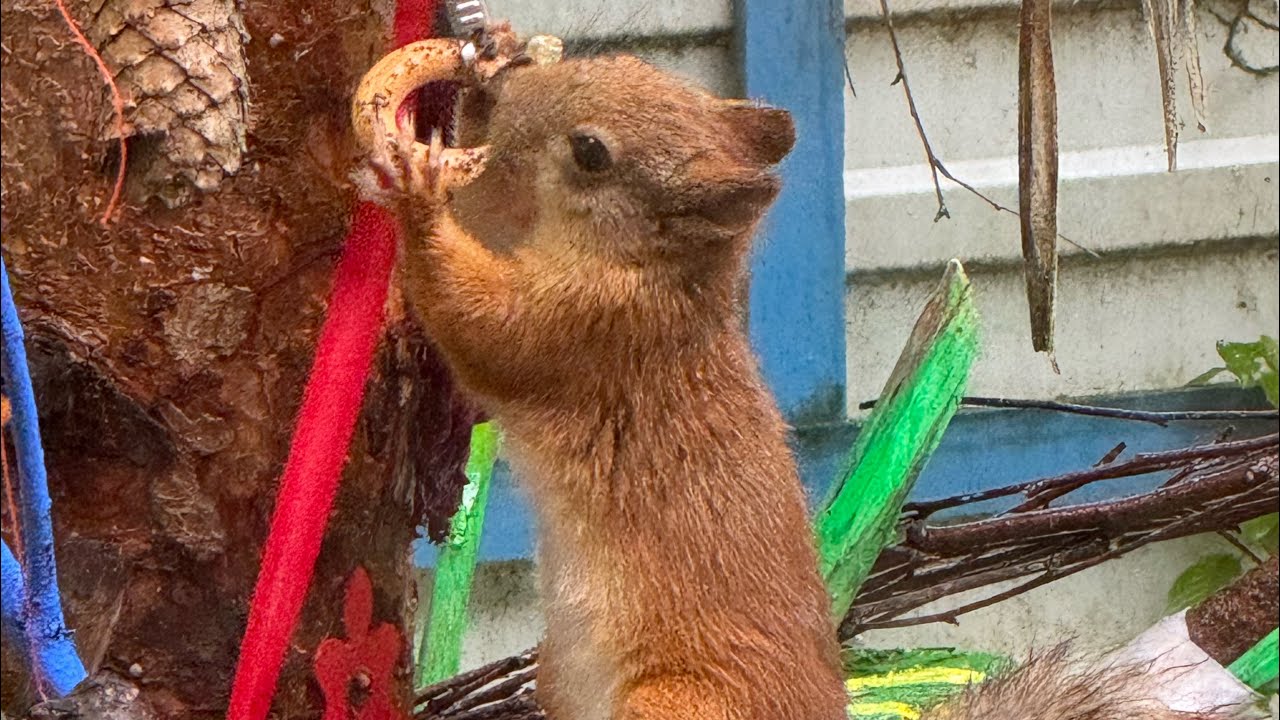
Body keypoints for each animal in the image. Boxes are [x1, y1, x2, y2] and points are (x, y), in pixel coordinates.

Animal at [353, 33, 1253, 720]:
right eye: (607, 61)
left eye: (591, 152)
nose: (488, 98)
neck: (659, 272)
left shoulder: (592, 333)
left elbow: (486, 334)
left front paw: (420, 196)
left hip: (680, 704)